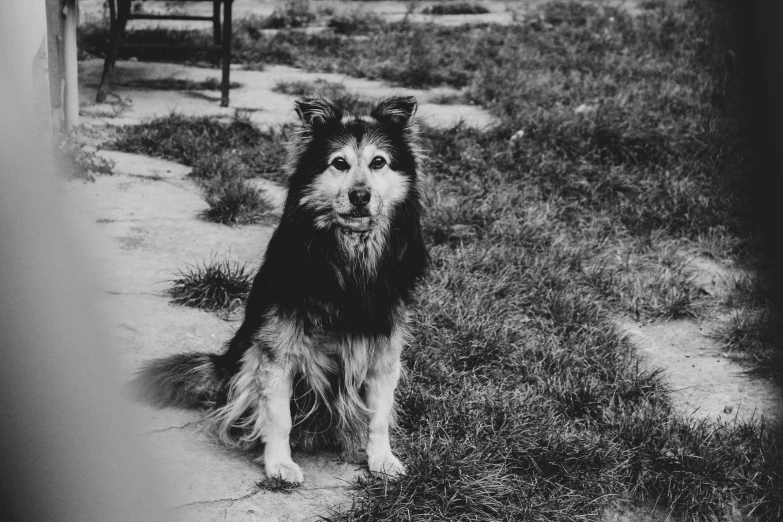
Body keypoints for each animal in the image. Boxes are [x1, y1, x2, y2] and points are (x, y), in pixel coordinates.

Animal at [135, 94, 428, 480]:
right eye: (339, 163)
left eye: (379, 162)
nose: (360, 196)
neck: (350, 256)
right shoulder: (277, 348)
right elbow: (278, 416)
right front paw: (279, 463)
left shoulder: (384, 346)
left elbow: (378, 414)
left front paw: (382, 459)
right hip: (244, 357)